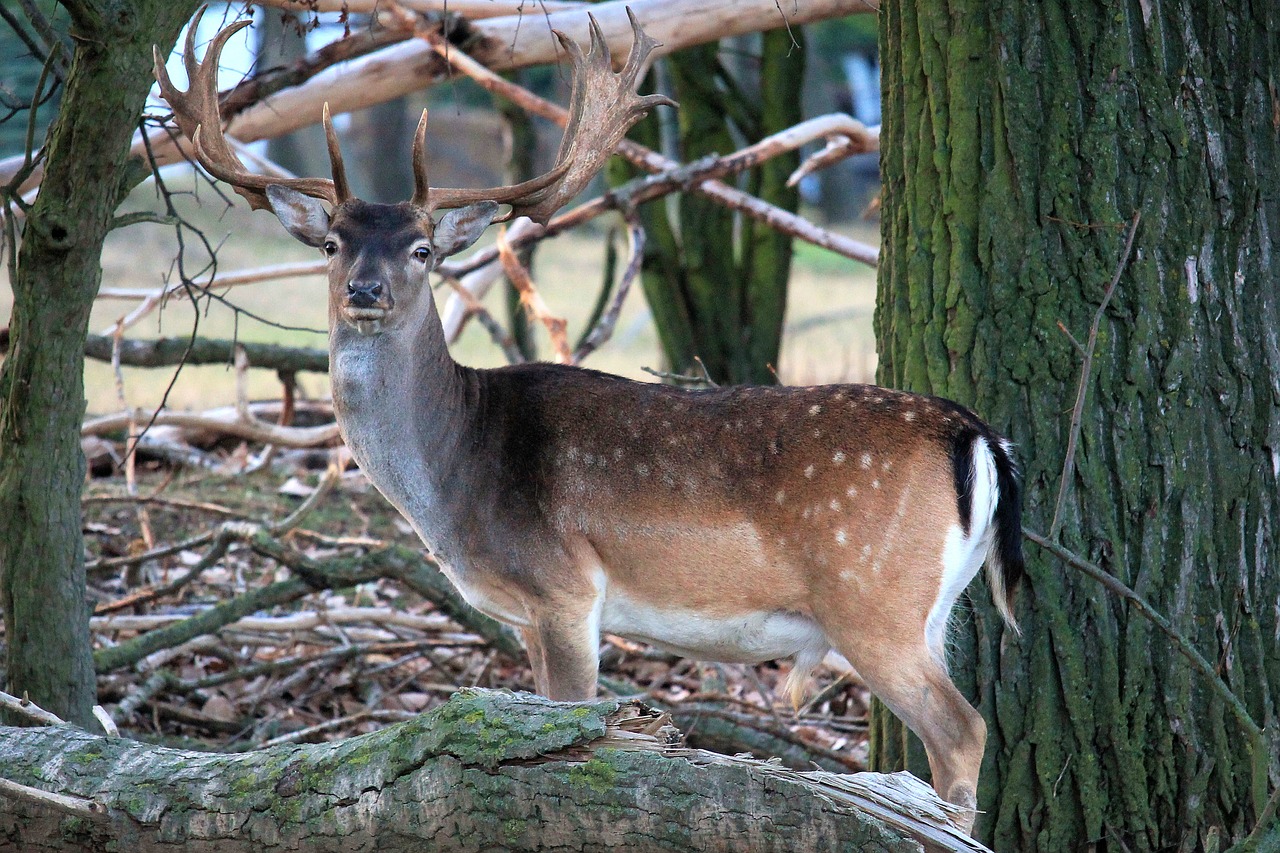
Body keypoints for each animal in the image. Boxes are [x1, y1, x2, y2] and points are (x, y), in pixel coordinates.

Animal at [157, 8, 1018, 829]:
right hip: (931, 606)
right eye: (333, 243)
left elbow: (571, 724)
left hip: (870, 594)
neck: (456, 472)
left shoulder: (564, 586)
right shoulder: (528, 613)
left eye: (423, 249)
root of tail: (974, 433)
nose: (365, 290)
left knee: (963, 727)